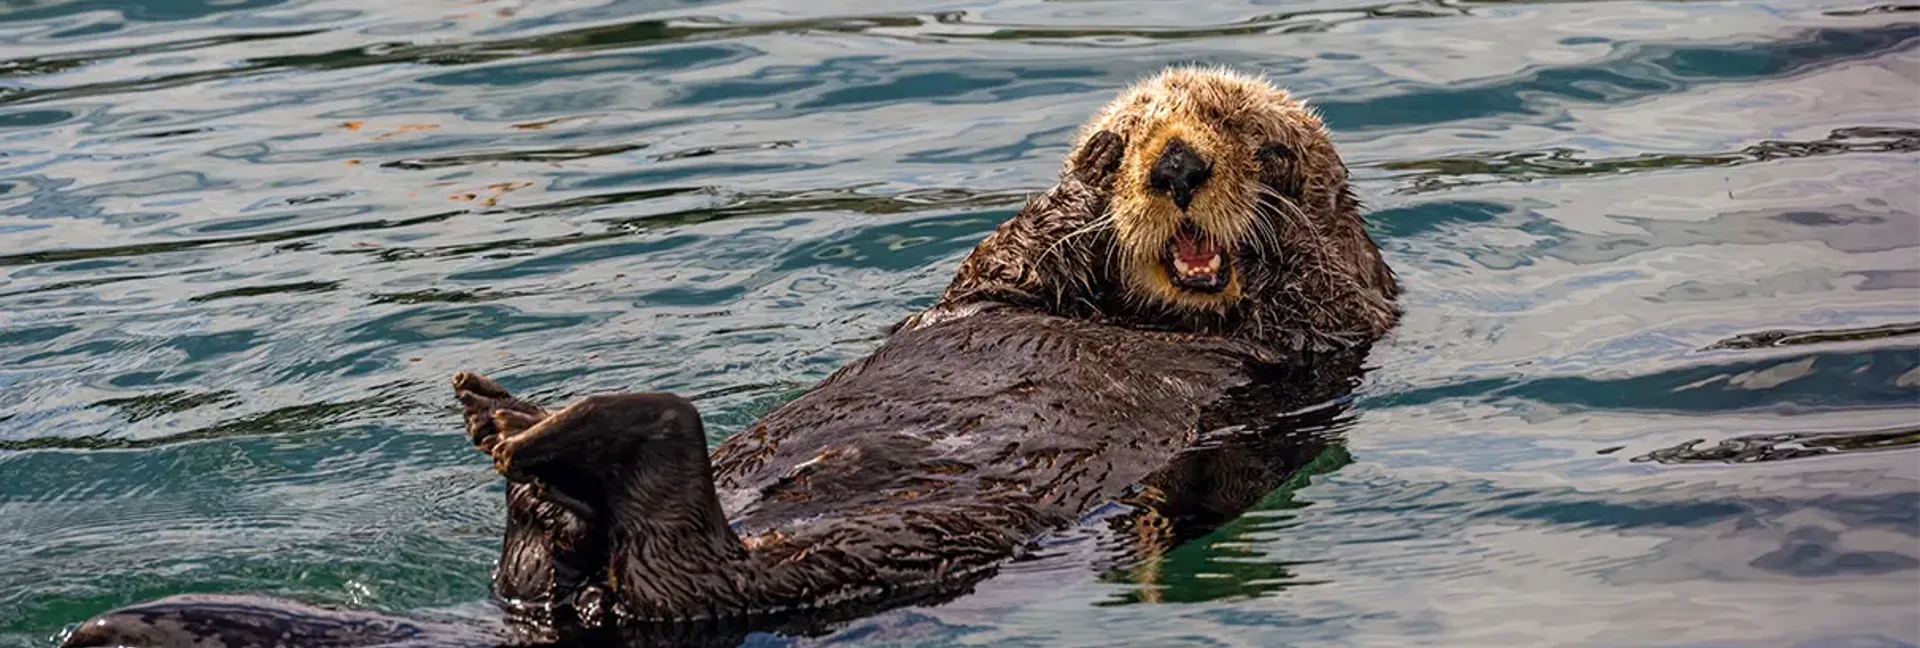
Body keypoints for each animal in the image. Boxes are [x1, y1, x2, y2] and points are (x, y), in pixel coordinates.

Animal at [60, 66, 1397, 648]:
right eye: (1128, 138)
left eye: (1258, 142)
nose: (1174, 163)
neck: (1142, 318)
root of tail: (578, 614)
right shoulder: (998, 280)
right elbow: (1010, 258)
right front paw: (1075, 196)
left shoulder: (1314, 364)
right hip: (610, 580)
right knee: (563, 554)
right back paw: (514, 429)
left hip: (789, 572)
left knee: (666, 550)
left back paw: (543, 432)